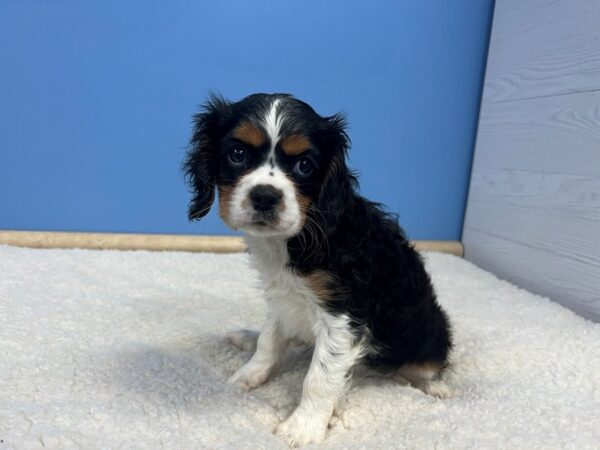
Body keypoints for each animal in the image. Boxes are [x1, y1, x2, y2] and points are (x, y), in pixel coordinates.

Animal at [183, 92, 450, 446]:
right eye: (237, 154)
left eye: (304, 165)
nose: (265, 196)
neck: (293, 239)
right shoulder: (280, 295)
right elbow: (270, 339)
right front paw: (248, 375)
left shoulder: (342, 314)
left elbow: (319, 378)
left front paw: (303, 428)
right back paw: (246, 337)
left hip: (428, 332)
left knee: (423, 364)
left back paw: (434, 385)